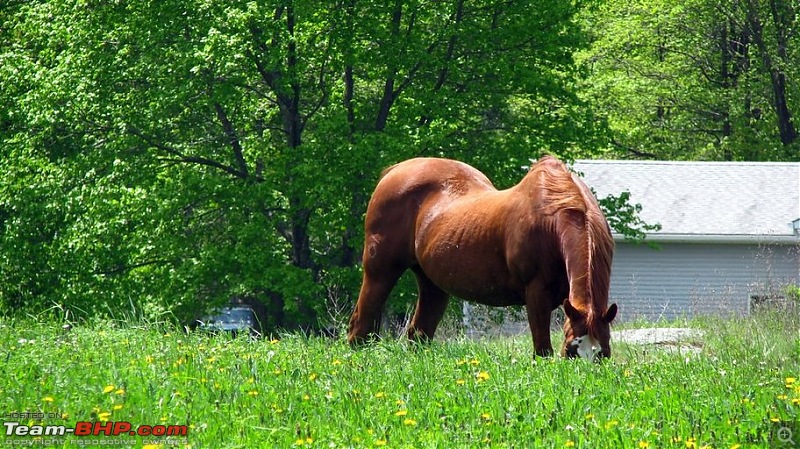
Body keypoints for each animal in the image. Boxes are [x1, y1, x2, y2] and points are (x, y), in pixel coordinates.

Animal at [346, 156, 620, 358]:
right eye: (572, 350)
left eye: (604, 353)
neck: (553, 219)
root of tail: (395, 171)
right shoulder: (536, 296)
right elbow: (542, 350)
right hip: (379, 273)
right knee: (360, 326)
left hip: (432, 284)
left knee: (419, 333)